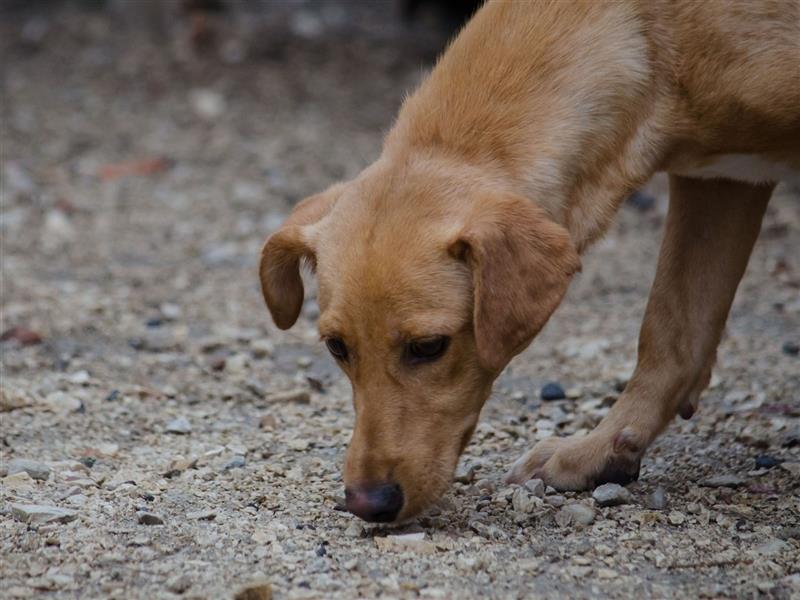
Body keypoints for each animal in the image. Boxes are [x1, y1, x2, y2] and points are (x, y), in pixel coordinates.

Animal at [260, 0, 800, 524]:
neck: (648, 32)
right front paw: (602, 450)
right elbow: (671, 337)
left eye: (429, 347)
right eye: (336, 347)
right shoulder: (720, 181)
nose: (367, 504)